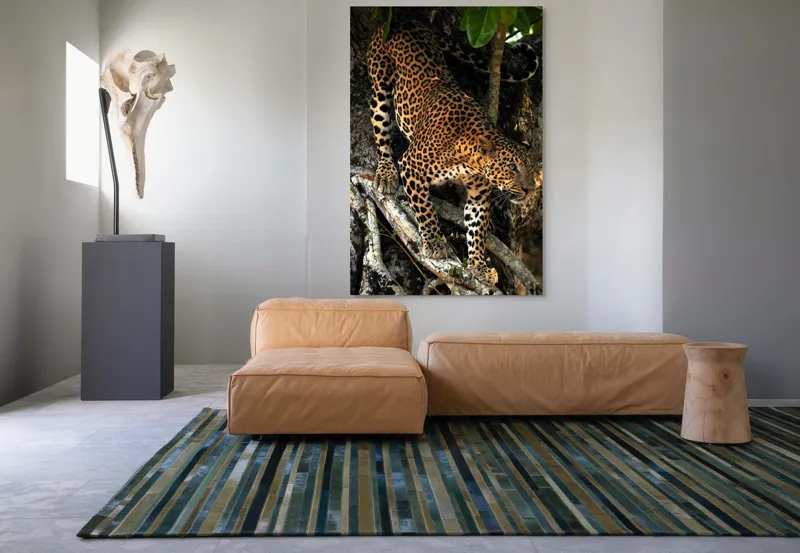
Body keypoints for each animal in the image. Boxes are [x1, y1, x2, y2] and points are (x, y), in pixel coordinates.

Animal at [367, 21, 540, 285]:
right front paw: (434, 243)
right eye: (512, 167)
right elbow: (425, 209)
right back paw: (386, 174)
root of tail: (406, 22)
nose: (530, 190)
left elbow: (476, 231)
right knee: (381, 130)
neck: (469, 158)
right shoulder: (411, 166)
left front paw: (479, 266)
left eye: (532, 169)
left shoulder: (478, 195)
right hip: (380, 85)